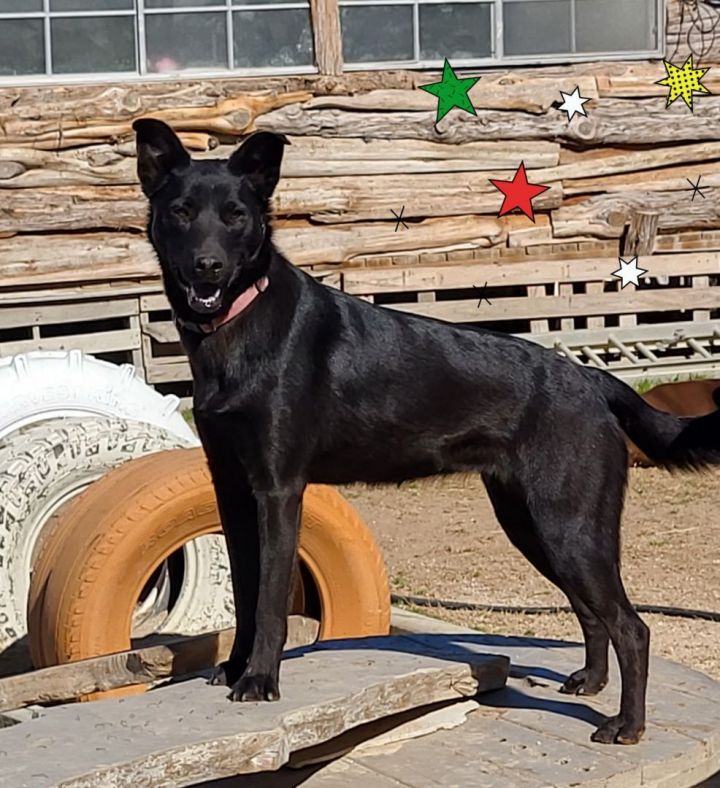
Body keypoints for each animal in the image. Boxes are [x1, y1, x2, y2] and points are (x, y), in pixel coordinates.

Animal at [134, 120, 720, 748]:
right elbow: (245, 595)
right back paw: (590, 682)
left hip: (568, 525)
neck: (238, 325)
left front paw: (261, 680)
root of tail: (589, 378)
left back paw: (627, 725)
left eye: (236, 215)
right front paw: (235, 667)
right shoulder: (234, 492)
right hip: (534, 525)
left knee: (632, 626)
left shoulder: (278, 491)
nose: (208, 267)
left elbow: (267, 602)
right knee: (592, 612)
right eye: (181, 212)